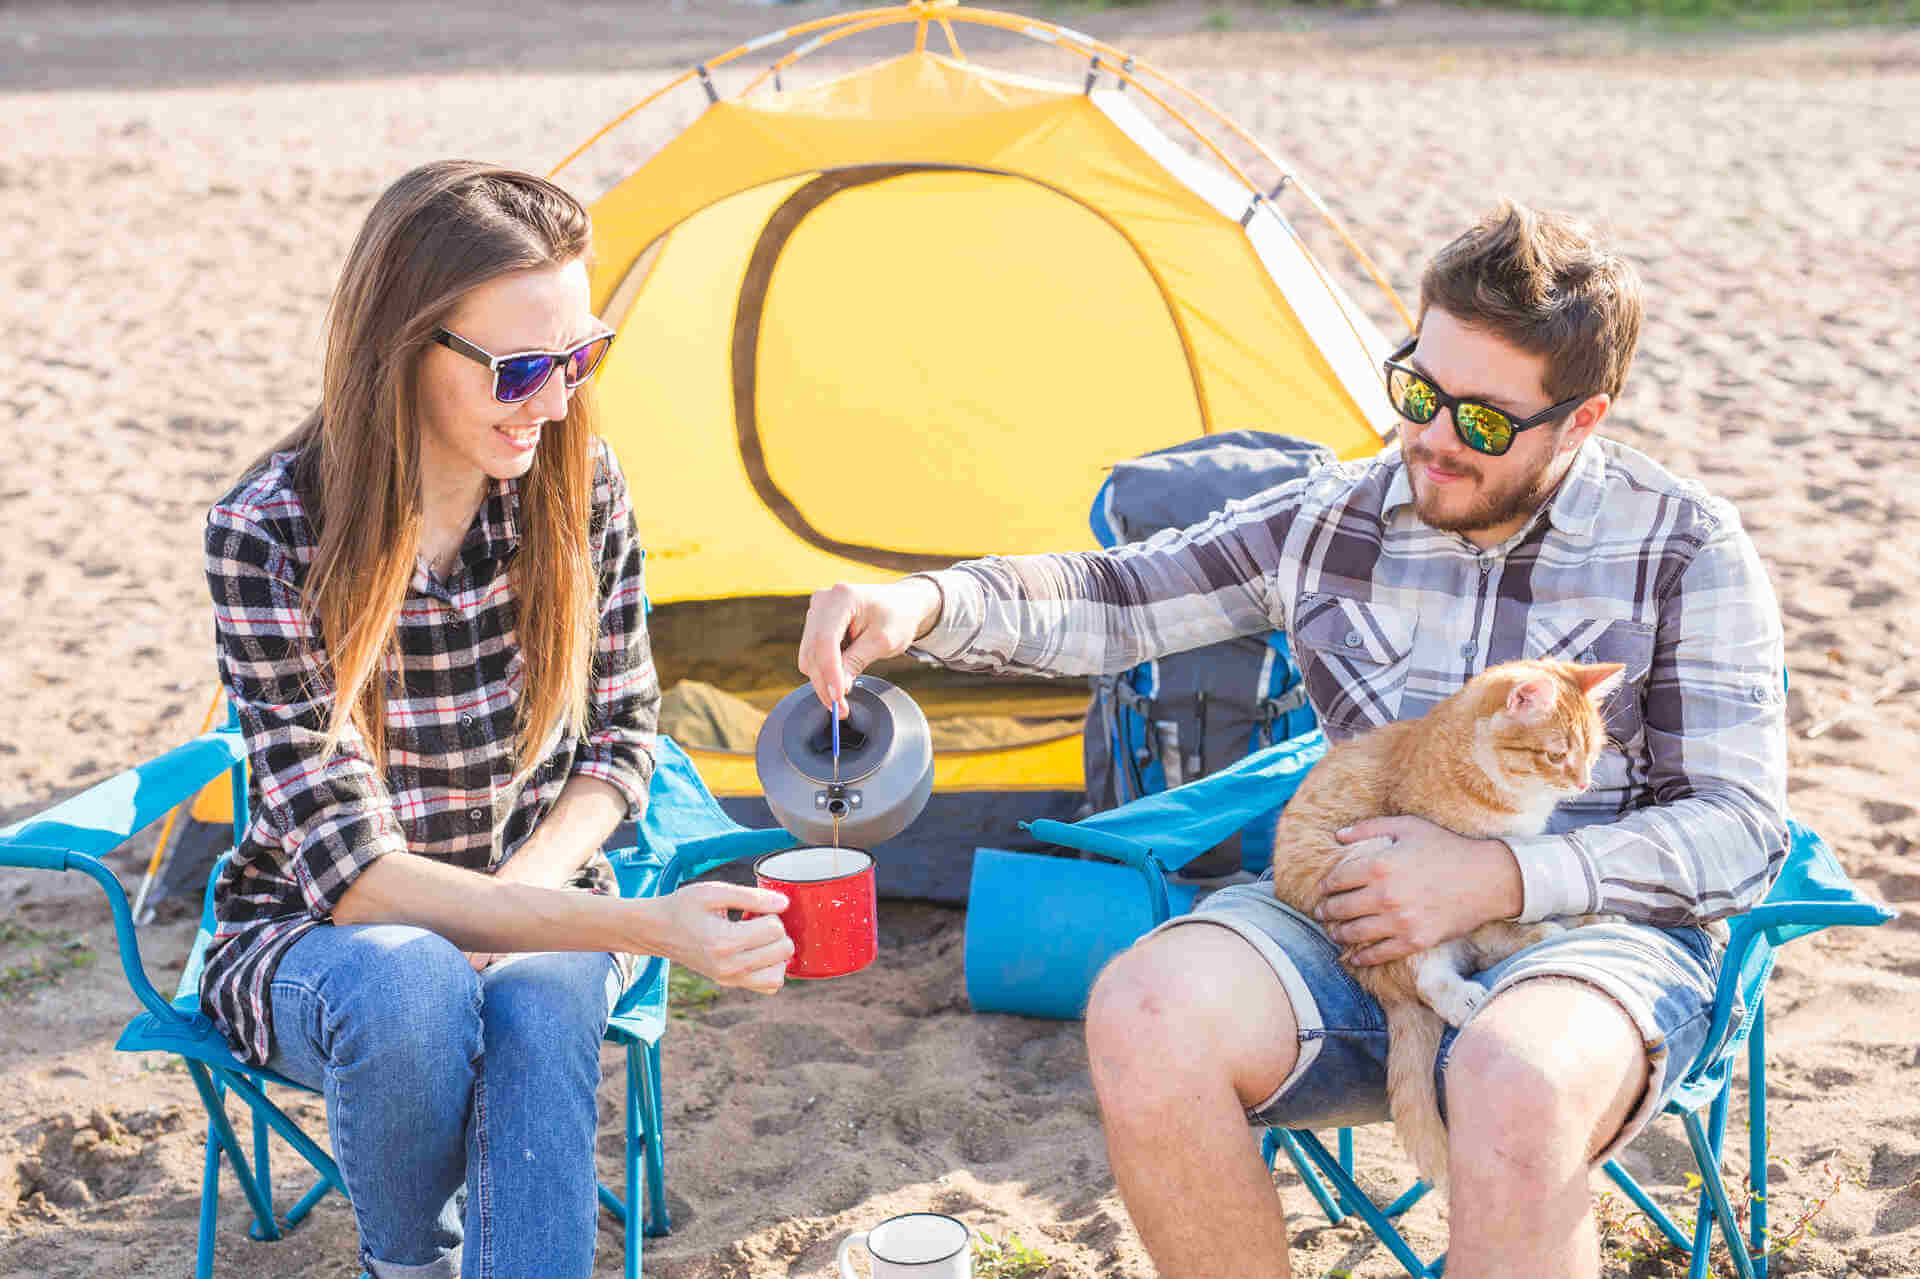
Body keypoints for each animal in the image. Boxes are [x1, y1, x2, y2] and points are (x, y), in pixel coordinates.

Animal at [1274, 656, 1620, 1182]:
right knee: (1430, 979)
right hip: (1374, 862)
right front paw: (1527, 931)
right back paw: (1473, 986)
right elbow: (1489, 925)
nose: (1582, 783)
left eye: (1592, 753)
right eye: (1556, 755)